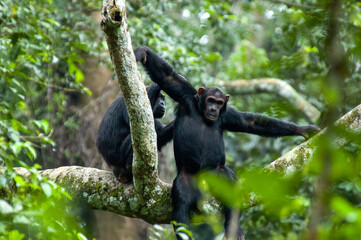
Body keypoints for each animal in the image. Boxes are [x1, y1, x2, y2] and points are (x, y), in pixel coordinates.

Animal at [134, 46, 320, 239]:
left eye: (219, 102)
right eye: (210, 100)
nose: (213, 109)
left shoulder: (228, 115)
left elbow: (252, 122)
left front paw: (303, 129)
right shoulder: (185, 95)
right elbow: (167, 76)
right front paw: (142, 53)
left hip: (217, 174)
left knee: (230, 187)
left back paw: (234, 229)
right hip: (188, 178)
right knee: (182, 202)